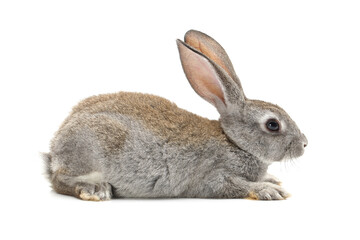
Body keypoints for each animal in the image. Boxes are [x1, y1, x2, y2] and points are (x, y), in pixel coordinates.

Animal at [42, 30, 306, 202]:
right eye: (273, 125)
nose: (304, 144)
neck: (235, 142)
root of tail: (55, 150)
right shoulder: (214, 177)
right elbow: (236, 185)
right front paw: (269, 190)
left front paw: (272, 180)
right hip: (92, 149)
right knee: (59, 180)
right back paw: (95, 189)